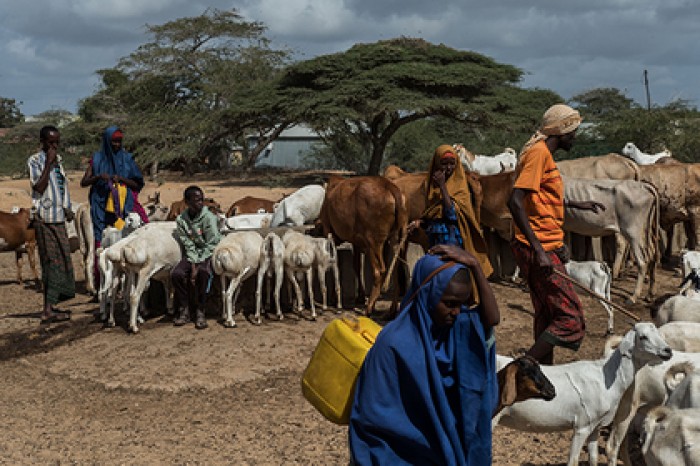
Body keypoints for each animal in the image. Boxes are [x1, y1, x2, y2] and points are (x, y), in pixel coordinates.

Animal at [318, 176, 408, 316]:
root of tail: (390, 187)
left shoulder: (328, 231)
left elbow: (335, 265)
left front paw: (333, 298)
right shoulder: (356, 242)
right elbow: (356, 266)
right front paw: (360, 296)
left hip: (373, 243)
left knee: (379, 271)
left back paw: (369, 308)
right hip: (394, 239)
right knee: (394, 270)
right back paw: (391, 309)